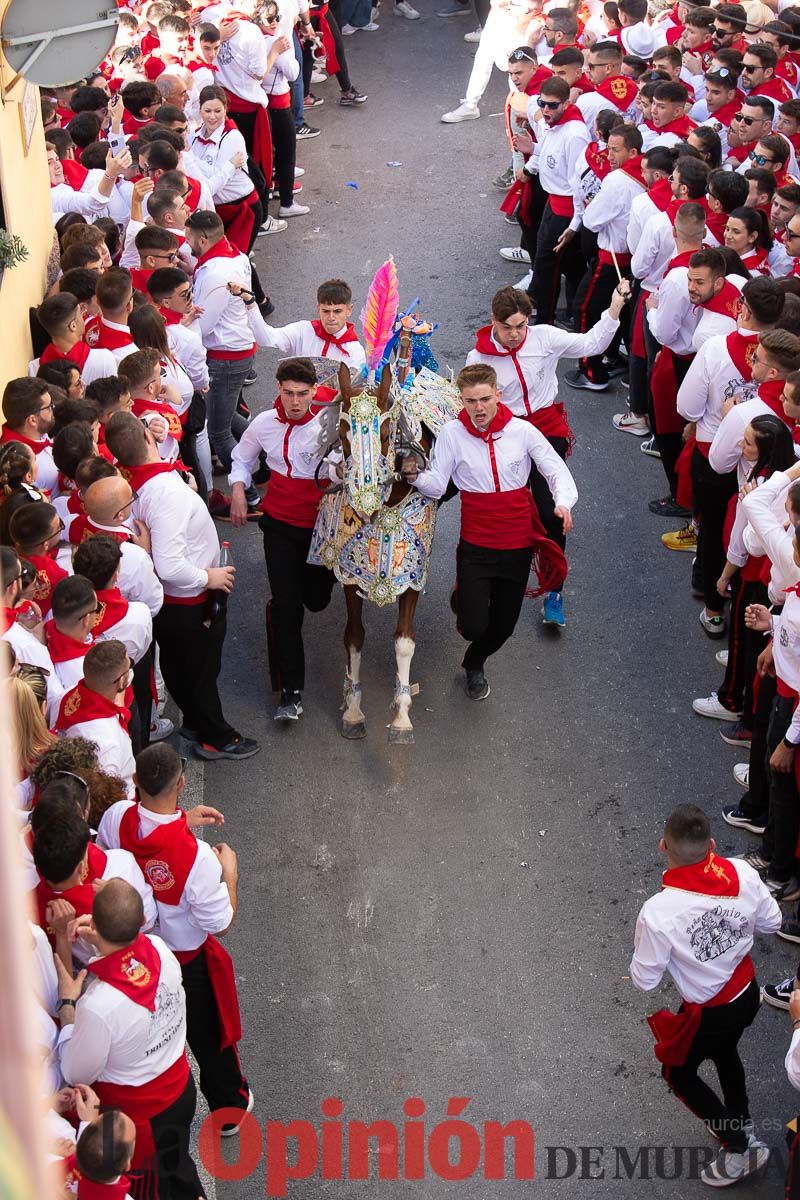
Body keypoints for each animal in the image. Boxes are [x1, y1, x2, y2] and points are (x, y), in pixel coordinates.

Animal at [311, 260, 465, 739]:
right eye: (342, 431)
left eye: (382, 432)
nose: (360, 500)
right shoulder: (348, 573)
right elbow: (354, 636)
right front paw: (353, 709)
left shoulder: (410, 574)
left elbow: (403, 640)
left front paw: (400, 716)